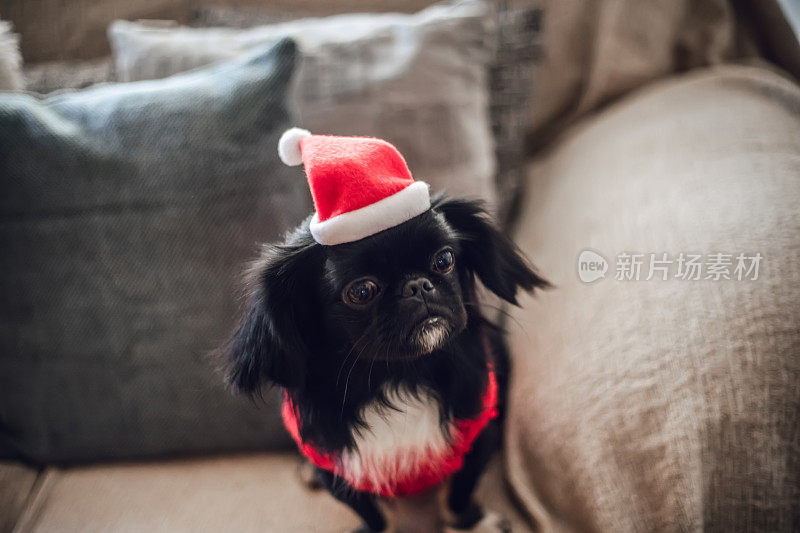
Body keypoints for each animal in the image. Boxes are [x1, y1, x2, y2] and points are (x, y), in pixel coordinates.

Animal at [225, 193, 552, 528]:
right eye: (361, 291)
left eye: (444, 260)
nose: (417, 285)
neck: (397, 377)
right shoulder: (339, 469)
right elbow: (375, 516)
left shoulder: (476, 440)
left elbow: (458, 495)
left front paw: (474, 524)